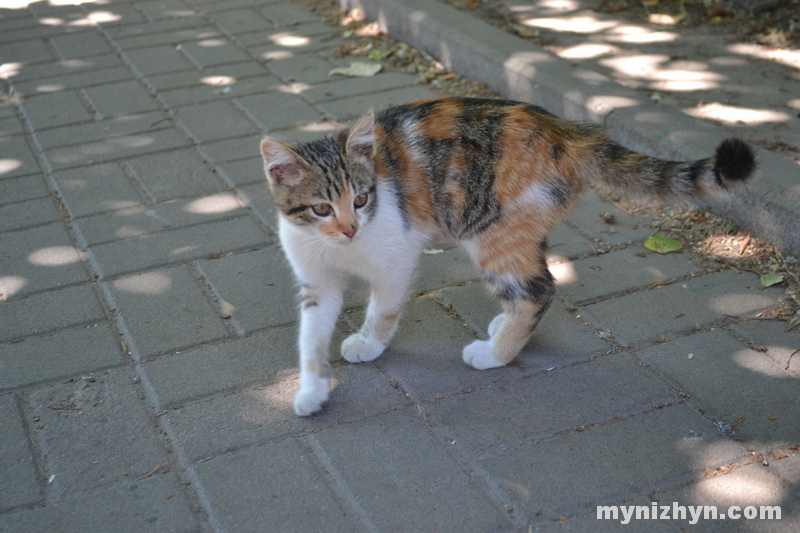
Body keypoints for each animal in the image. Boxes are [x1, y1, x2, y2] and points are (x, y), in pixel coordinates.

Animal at [260, 96, 752, 416]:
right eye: (321, 208)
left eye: (361, 199)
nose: (350, 228)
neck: (339, 246)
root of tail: (568, 128)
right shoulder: (317, 283)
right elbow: (310, 337)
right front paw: (311, 391)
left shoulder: (396, 257)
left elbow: (384, 309)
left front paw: (368, 343)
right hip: (519, 225)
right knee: (531, 279)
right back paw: (503, 327)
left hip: (490, 229)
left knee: (539, 289)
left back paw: (496, 353)